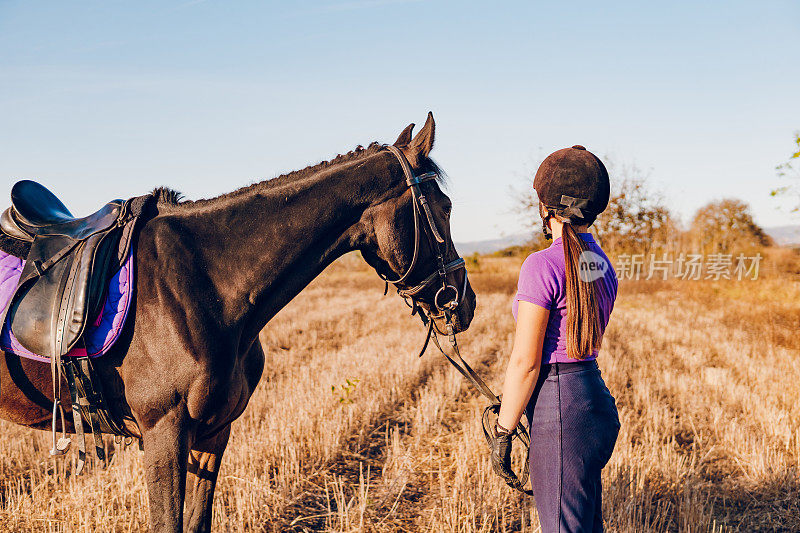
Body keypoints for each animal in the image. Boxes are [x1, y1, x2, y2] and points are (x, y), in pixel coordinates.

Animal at [0, 111, 476, 528]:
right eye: (445, 206)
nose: (465, 301)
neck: (206, 283)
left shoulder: (214, 433)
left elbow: (197, 522)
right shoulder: (163, 434)